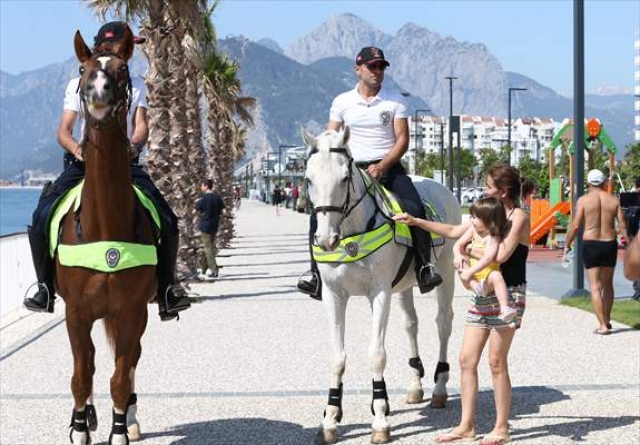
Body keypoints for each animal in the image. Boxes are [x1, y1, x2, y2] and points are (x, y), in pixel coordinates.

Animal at [302, 126, 458, 442]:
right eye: (308, 179)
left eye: (344, 178)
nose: (325, 239)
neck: (351, 232)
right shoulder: (333, 295)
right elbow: (337, 357)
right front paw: (330, 418)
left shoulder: (379, 293)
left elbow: (376, 355)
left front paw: (380, 420)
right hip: (405, 286)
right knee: (411, 324)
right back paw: (416, 386)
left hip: (446, 274)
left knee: (443, 323)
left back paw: (439, 388)